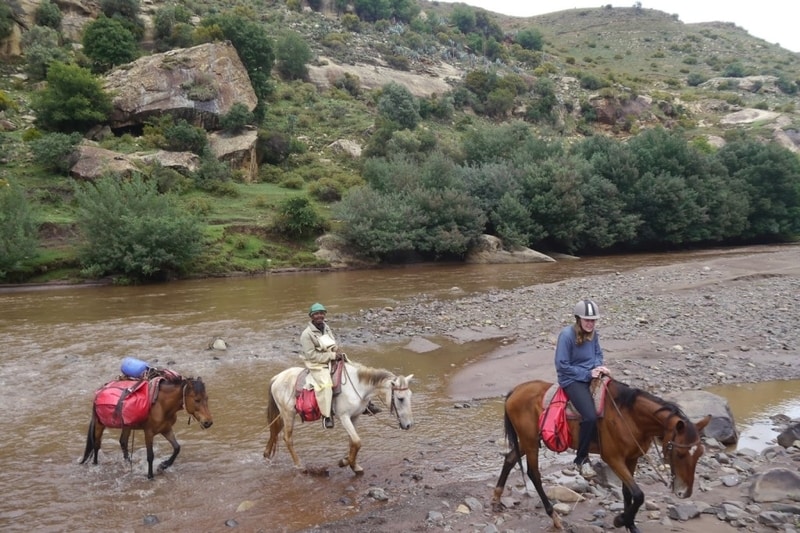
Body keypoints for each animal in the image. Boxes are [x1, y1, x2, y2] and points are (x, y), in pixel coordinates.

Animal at [80, 374, 212, 478]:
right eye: (197, 400)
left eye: (206, 398)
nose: (208, 422)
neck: (161, 405)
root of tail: (99, 392)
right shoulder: (149, 432)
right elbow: (150, 455)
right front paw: (150, 476)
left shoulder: (166, 429)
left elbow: (177, 448)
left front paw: (163, 465)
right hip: (100, 424)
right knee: (97, 445)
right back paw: (95, 465)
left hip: (127, 426)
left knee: (123, 442)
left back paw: (128, 463)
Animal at [264, 362, 416, 474]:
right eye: (400, 398)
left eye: (410, 396)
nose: (408, 425)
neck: (358, 387)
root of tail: (277, 378)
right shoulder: (344, 417)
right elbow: (357, 442)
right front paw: (344, 462)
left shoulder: (355, 417)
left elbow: (352, 442)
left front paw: (353, 465)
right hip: (288, 414)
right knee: (287, 439)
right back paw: (299, 465)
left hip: (283, 414)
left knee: (274, 432)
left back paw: (266, 456)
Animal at [494, 376, 712, 528]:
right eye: (680, 455)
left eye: (699, 454)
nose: (684, 492)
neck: (630, 417)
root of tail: (515, 391)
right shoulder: (613, 458)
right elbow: (638, 494)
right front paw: (620, 520)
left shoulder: (631, 458)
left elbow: (628, 493)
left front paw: (630, 524)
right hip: (530, 441)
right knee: (534, 474)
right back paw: (554, 518)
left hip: (528, 440)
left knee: (510, 458)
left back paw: (496, 499)